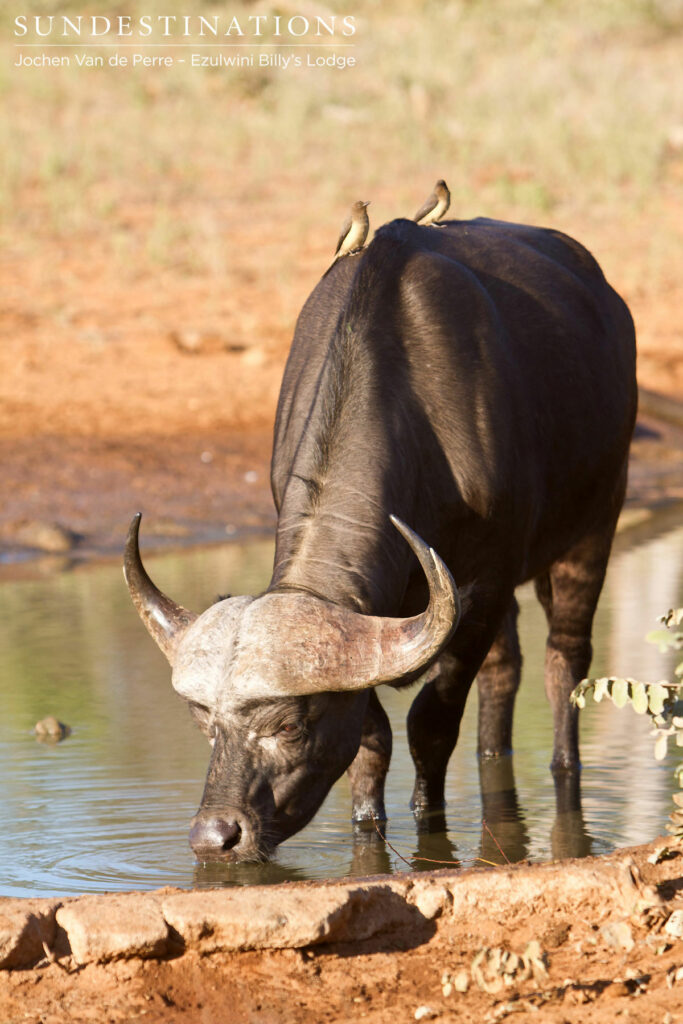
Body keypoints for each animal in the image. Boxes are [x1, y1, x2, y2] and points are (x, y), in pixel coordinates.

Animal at [125, 216, 637, 862]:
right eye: (205, 723)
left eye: (289, 725)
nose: (216, 837)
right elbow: (372, 740)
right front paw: (368, 824)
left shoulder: (486, 585)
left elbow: (429, 726)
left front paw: (428, 823)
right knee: (506, 668)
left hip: (594, 525)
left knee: (565, 660)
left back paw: (565, 766)